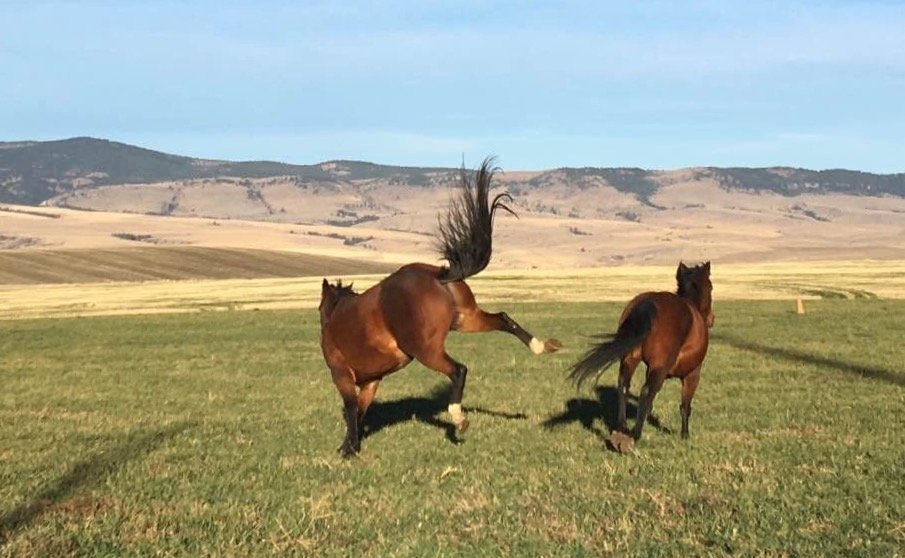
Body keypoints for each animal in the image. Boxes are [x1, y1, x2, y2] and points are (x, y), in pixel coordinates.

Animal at [319, 159, 562, 457]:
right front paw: (351, 445)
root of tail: (439, 275)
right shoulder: (371, 381)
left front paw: (348, 449)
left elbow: (352, 409)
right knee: (504, 319)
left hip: (426, 349)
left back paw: (458, 417)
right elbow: (361, 411)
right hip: (466, 320)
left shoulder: (342, 374)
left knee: (459, 370)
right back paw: (541, 346)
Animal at [568, 262, 714, 452]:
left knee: (624, 386)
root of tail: (648, 304)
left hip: (629, 359)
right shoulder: (692, 374)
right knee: (645, 391)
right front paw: (685, 435)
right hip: (659, 368)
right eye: (711, 286)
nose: (711, 319)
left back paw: (622, 429)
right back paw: (634, 436)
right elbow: (685, 406)